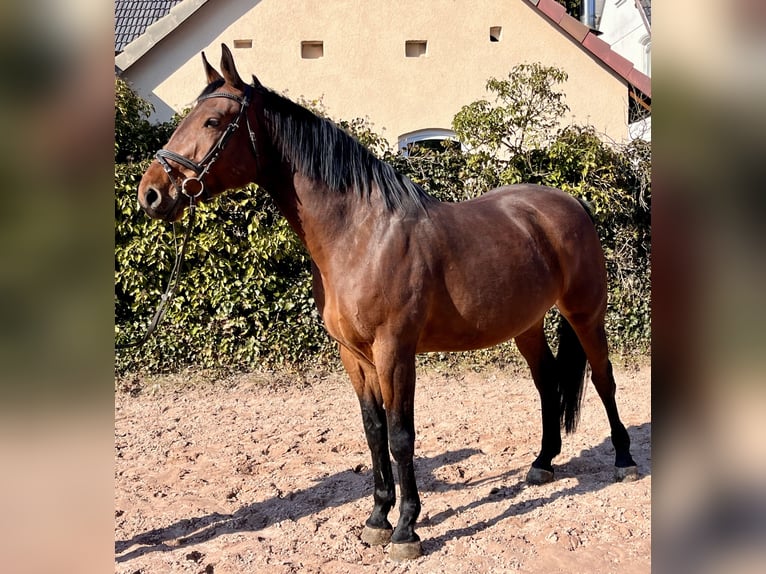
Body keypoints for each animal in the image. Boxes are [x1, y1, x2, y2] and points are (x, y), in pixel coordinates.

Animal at [136, 44, 638, 560]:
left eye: (213, 121)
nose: (150, 193)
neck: (360, 233)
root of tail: (573, 204)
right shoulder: (354, 356)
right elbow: (374, 432)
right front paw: (377, 519)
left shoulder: (393, 350)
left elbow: (400, 435)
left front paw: (406, 529)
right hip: (527, 325)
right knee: (547, 382)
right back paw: (542, 462)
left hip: (585, 314)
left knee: (603, 378)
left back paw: (623, 458)